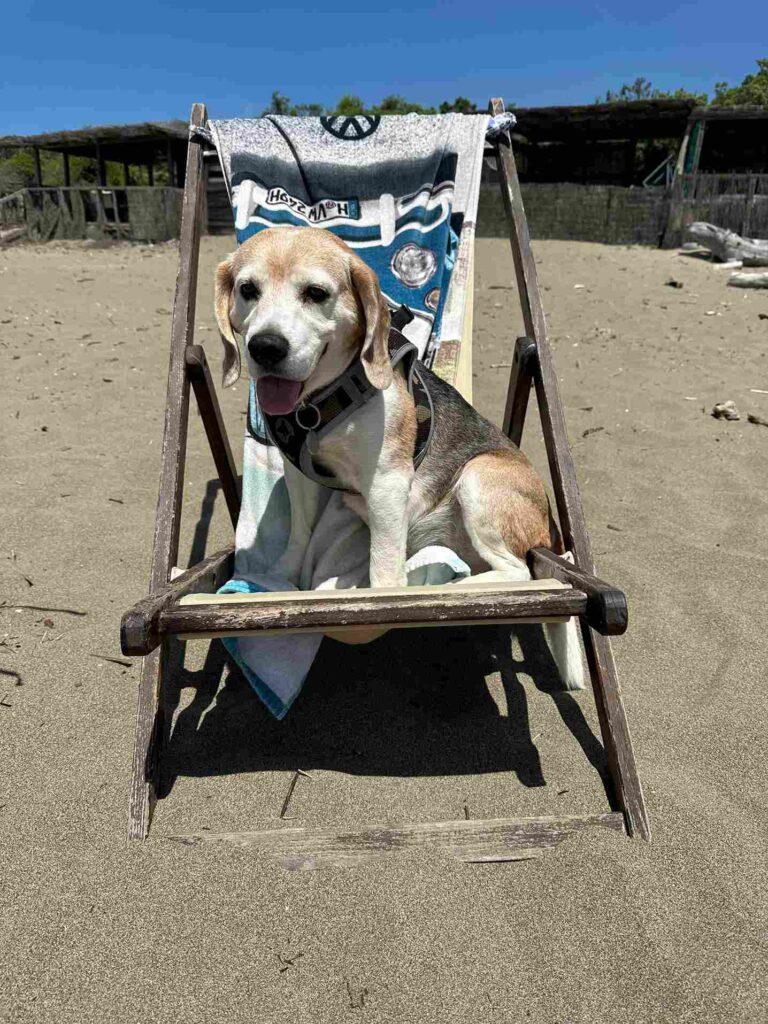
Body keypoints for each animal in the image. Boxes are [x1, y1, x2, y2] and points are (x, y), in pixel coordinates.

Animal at [215, 224, 581, 688]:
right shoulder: (297, 474)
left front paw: (385, 603)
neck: (320, 404)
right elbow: (298, 533)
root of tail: (548, 528)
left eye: (316, 293)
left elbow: (384, 571)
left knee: (520, 572)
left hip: (478, 476)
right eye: (248, 289)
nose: (265, 347)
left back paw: (456, 588)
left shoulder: (388, 482)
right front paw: (284, 578)